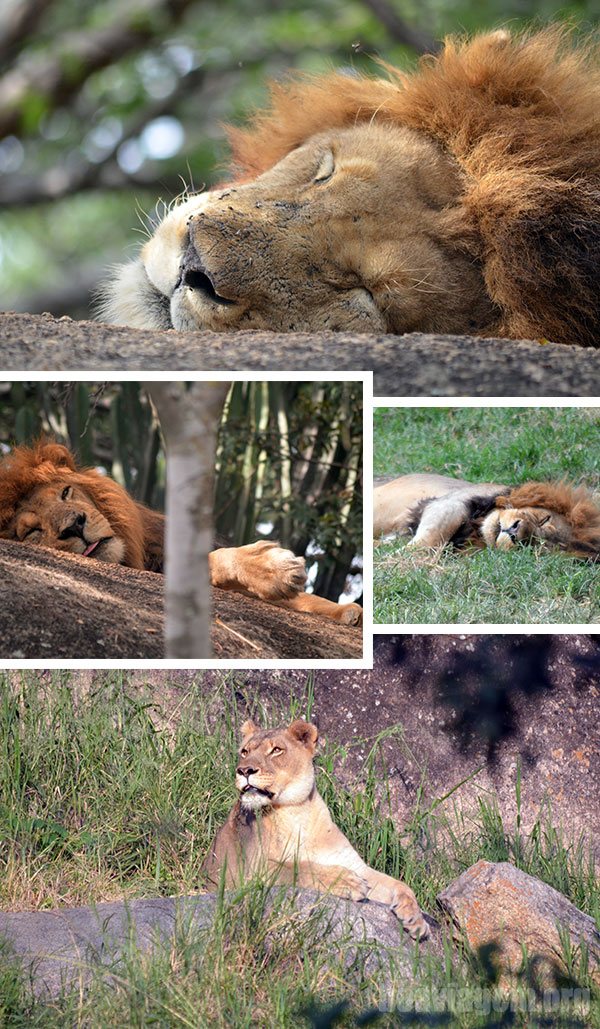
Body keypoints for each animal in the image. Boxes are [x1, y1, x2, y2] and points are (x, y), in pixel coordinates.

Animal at [203, 716, 430, 942]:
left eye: (276, 750)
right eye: (244, 752)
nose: (244, 770)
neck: (296, 812)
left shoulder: (355, 865)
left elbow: (400, 885)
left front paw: (417, 921)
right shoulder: (250, 872)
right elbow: (298, 867)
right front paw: (347, 881)